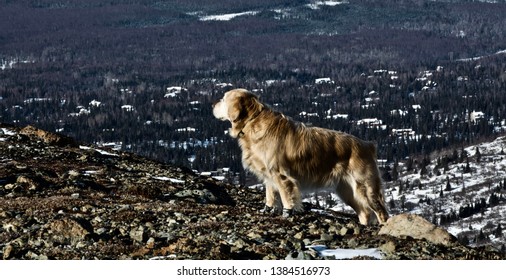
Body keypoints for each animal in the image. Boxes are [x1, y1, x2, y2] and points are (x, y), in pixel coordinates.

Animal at [211, 88, 390, 224]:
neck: (252, 122)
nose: (212, 104)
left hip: (365, 187)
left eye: (224, 98)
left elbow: (286, 198)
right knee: (364, 212)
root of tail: (368, 145)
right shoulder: (268, 175)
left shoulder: (282, 175)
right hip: (346, 190)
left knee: (381, 212)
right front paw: (268, 210)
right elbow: (270, 196)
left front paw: (287, 214)